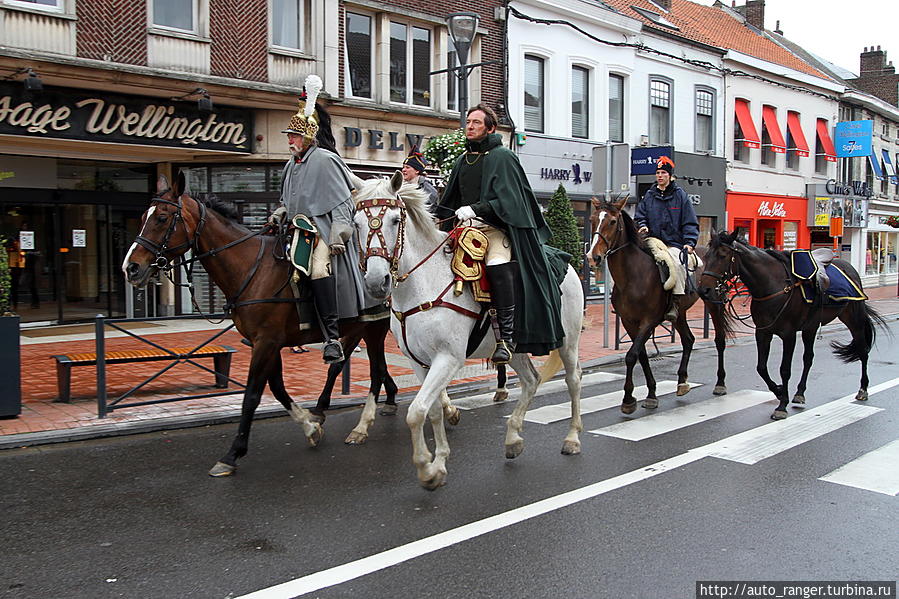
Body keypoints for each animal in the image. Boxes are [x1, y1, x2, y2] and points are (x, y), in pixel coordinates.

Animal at [122, 171, 398, 476]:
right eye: (144, 215)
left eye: (162, 217)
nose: (130, 268)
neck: (252, 269)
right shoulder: (265, 342)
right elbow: (277, 388)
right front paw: (310, 427)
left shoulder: (266, 342)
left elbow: (252, 395)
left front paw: (232, 453)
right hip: (356, 329)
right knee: (349, 366)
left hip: (375, 327)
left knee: (376, 370)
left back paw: (363, 425)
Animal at [356, 171, 588, 490]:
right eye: (356, 223)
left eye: (394, 220)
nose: (376, 283)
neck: (422, 285)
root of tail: (568, 263)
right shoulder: (419, 362)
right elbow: (432, 410)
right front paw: (439, 463)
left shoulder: (448, 358)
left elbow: (416, 412)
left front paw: (426, 469)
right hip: (516, 348)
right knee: (531, 380)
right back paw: (513, 439)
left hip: (568, 341)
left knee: (573, 380)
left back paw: (572, 438)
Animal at [592, 197, 732, 412]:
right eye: (593, 220)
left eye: (613, 222)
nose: (594, 256)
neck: (633, 276)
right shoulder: (628, 322)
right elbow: (641, 355)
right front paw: (650, 393)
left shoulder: (649, 320)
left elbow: (631, 355)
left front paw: (628, 399)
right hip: (680, 313)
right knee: (688, 340)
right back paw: (682, 382)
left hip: (714, 303)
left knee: (720, 340)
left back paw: (720, 383)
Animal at [696, 232, 884, 420]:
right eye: (706, 256)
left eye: (723, 255)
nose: (703, 290)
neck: (773, 286)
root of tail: (848, 266)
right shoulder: (763, 333)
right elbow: (761, 367)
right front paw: (779, 391)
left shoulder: (789, 335)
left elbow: (784, 369)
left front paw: (781, 406)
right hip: (811, 327)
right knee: (808, 358)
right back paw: (800, 393)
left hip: (853, 320)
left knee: (862, 351)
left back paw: (863, 389)